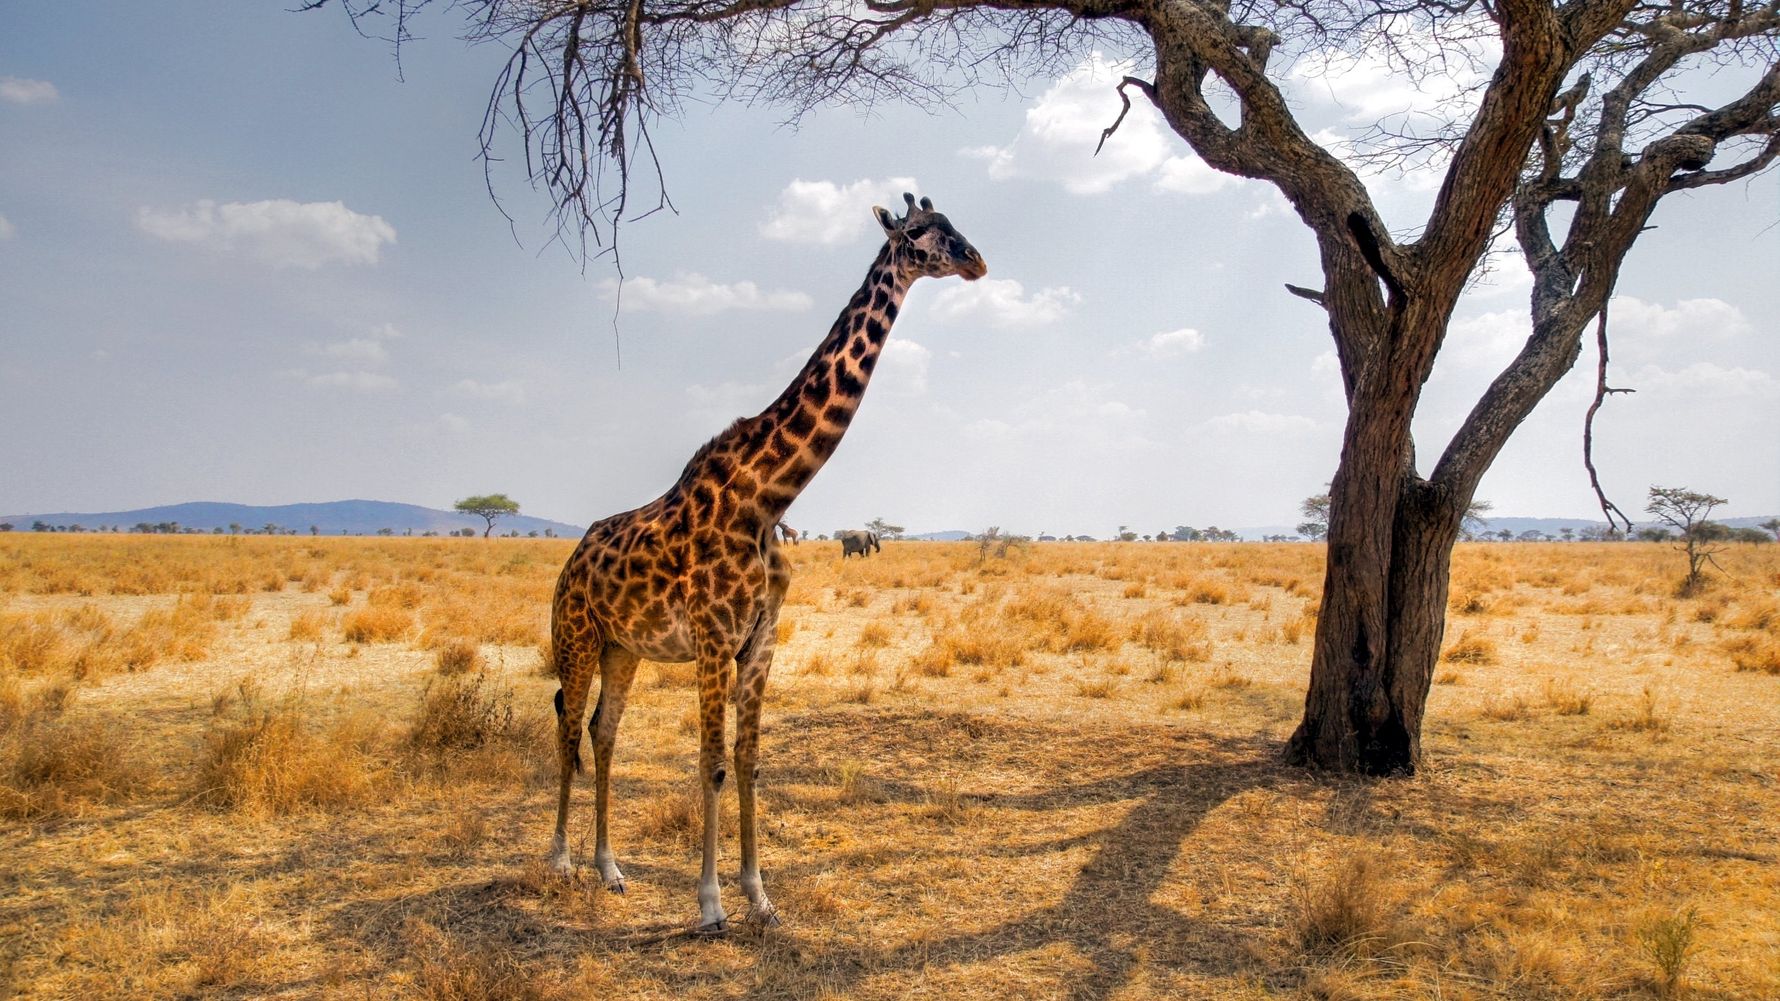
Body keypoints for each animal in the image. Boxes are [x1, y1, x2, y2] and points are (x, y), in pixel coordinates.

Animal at [548, 193, 986, 933]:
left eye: (955, 224)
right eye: (923, 233)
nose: (977, 260)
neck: (768, 496)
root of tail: (571, 561)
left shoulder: (761, 640)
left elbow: (749, 760)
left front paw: (759, 896)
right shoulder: (713, 639)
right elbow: (711, 764)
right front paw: (710, 903)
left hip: (622, 647)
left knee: (604, 731)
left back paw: (610, 868)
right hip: (575, 637)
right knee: (567, 720)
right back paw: (558, 859)